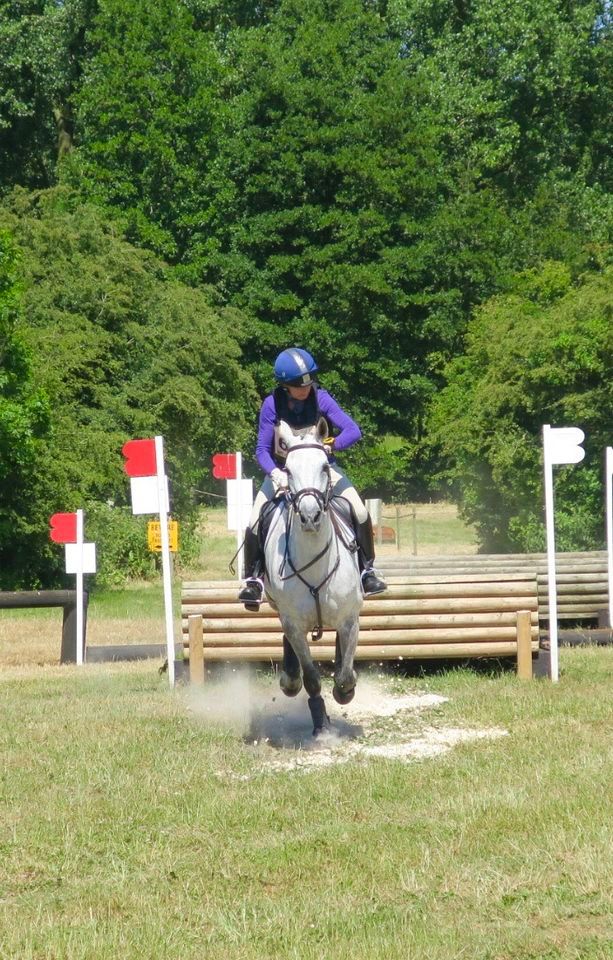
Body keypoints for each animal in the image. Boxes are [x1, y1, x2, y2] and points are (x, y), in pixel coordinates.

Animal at [261, 419, 364, 736]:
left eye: (324, 467)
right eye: (288, 470)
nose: (310, 517)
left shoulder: (349, 619)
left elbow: (345, 674)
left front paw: (344, 692)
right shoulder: (294, 624)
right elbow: (312, 678)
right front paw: (321, 723)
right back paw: (290, 680)